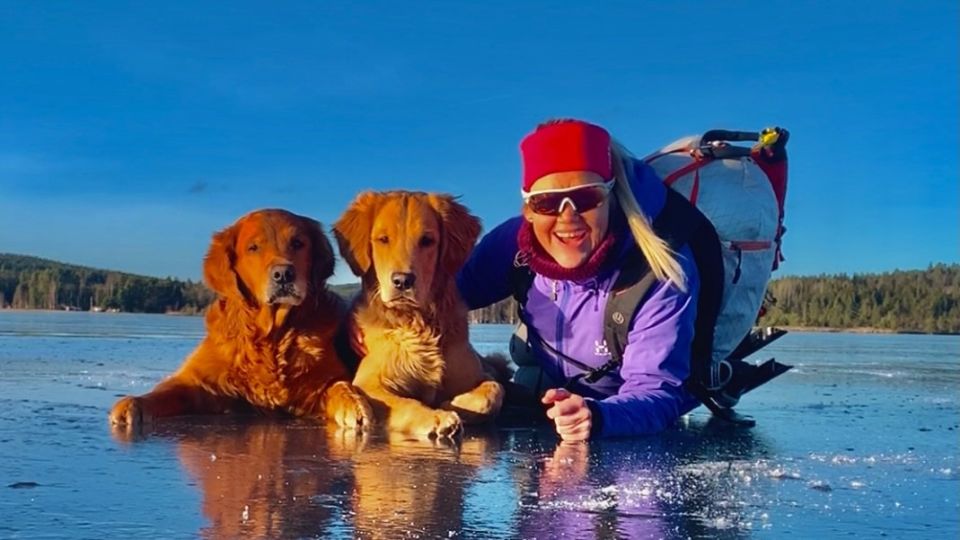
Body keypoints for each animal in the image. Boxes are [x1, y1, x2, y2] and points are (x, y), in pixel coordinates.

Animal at [108, 209, 372, 432]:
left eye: (298, 243)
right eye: (253, 247)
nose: (283, 274)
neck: (272, 335)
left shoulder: (323, 382)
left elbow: (340, 386)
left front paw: (355, 405)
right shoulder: (197, 381)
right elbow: (166, 390)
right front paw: (131, 404)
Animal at [334, 192, 506, 436]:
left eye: (427, 240)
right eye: (383, 239)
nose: (402, 281)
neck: (419, 323)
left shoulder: (478, 376)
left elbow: (494, 391)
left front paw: (454, 404)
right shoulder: (369, 383)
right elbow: (406, 402)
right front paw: (437, 416)